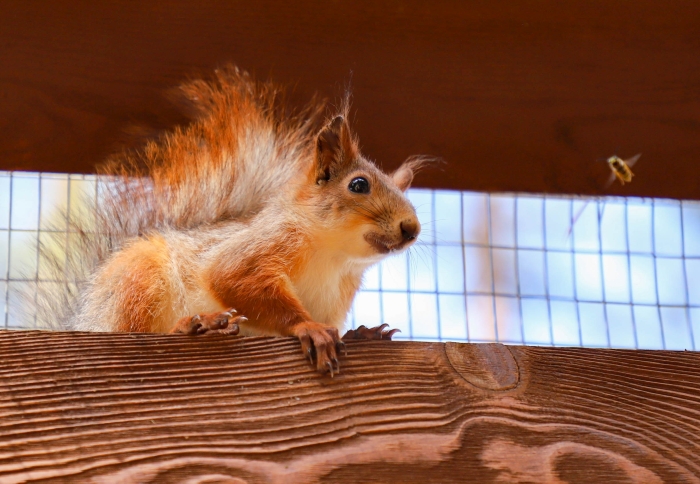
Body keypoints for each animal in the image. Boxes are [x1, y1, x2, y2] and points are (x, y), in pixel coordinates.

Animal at [43, 65, 430, 374]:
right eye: (359, 184)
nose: (411, 229)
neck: (335, 257)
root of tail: (85, 318)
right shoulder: (260, 247)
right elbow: (234, 279)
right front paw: (308, 328)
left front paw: (362, 335)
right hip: (137, 281)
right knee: (131, 331)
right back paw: (194, 326)